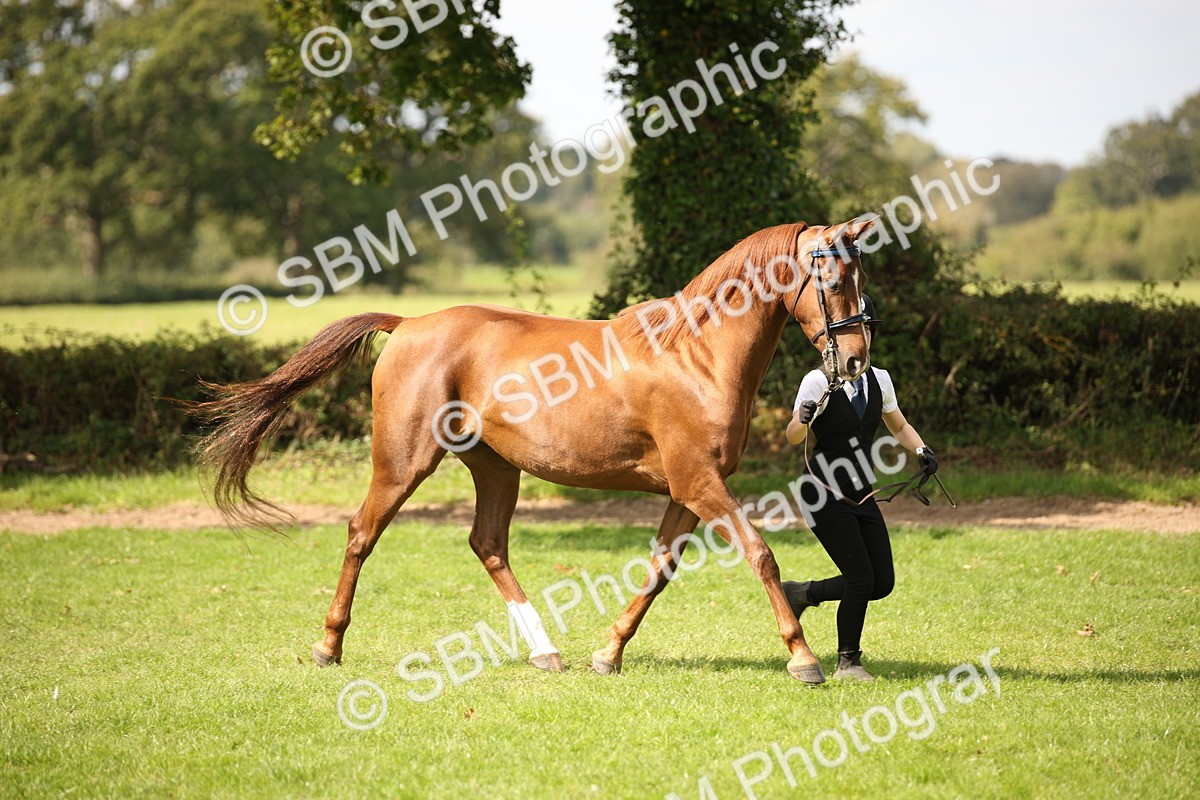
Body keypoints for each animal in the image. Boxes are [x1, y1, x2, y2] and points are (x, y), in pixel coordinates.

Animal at [191, 217, 875, 685]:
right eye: (834, 278)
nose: (857, 361)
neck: (695, 355)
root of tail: (408, 325)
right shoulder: (699, 483)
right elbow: (761, 555)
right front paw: (803, 658)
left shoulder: (687, 490)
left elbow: (658, 570)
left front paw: (607, 653)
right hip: (403, 462)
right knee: (362, 533)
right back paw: (328, 647)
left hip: (496, 468)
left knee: (488, 544)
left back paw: (547, 653)